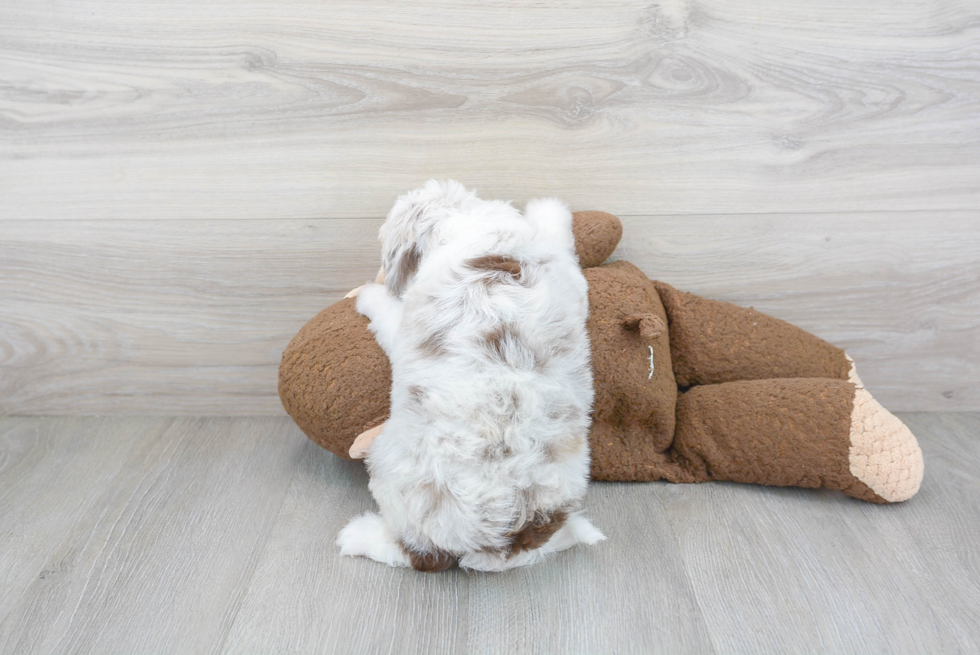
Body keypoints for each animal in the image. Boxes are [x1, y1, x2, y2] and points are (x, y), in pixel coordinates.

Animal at [338, 181, 604, 576]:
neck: (468, 225)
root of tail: (496, 541)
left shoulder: (402, 326)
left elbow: (385, 311)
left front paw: (369, 294)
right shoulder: (568, 274)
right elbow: (556, 232)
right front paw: (549, 206)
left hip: (389, 468)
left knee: (413, 552)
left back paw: (358, 535)